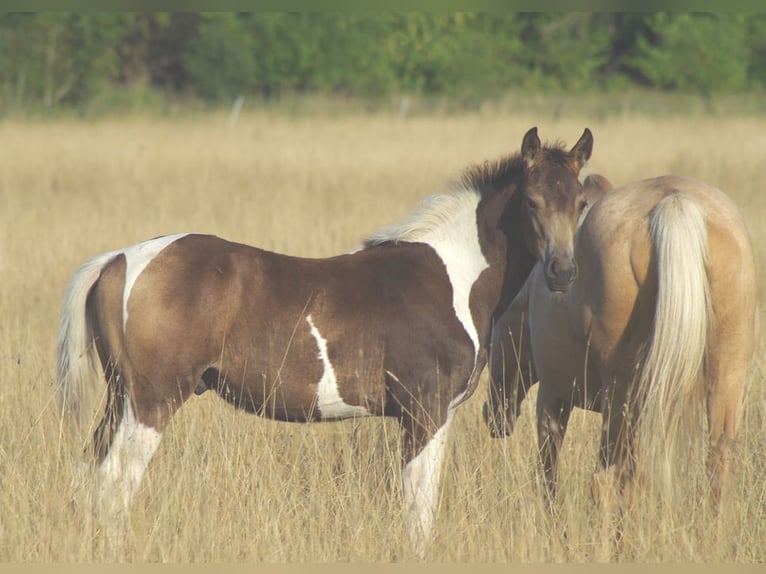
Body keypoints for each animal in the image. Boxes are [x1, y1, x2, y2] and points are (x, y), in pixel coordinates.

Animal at [56, 126, 594, 554]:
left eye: (581, 204)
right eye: (531, 201)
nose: (564, 273)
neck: (452, 276)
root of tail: (118, 259)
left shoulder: (433, 416)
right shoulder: (425, 410)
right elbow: (418, 507)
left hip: (120, 398)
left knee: (89, 476)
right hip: (153, 400)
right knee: (115, 482)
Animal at [484, 174, 757, 513]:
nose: (495, 418)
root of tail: (675, 201)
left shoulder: (553, 395)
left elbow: (547, 474)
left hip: (620, 398)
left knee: (605, 480)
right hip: (724, 378)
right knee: (716, 469)